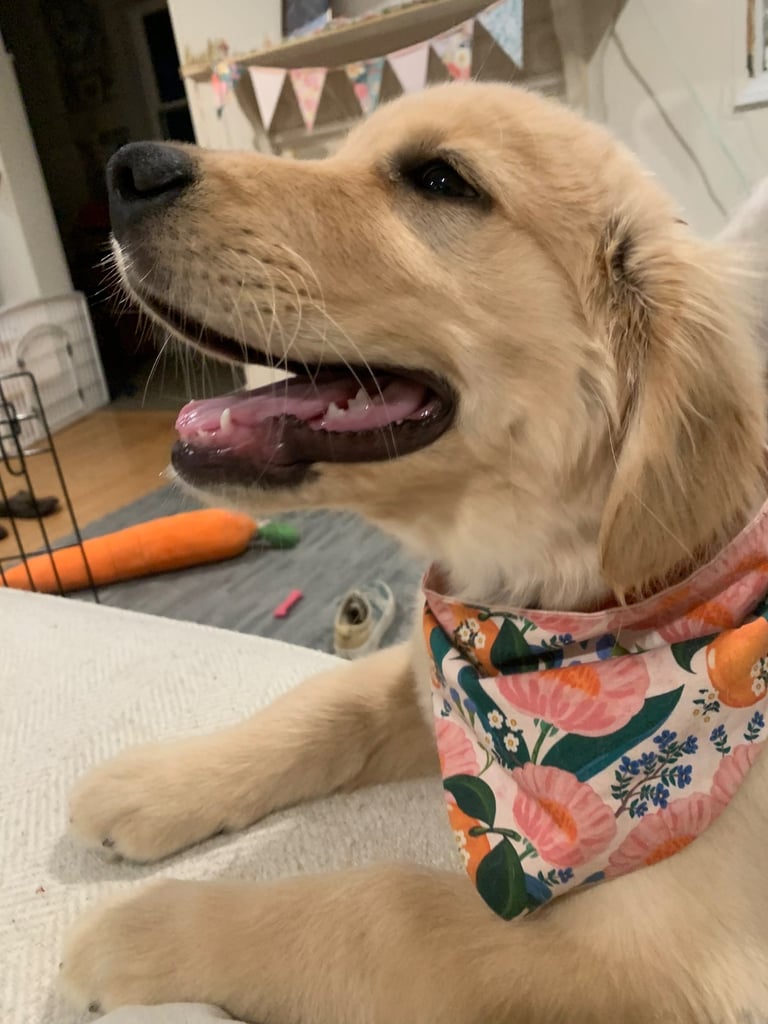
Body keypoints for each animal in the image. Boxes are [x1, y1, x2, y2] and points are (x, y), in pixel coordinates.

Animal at [61, 82, 768, 1023]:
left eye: (441, 179)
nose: (128, 170)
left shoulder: (658, 972)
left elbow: (377, 912)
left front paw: (140, 932)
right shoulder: (433, 664)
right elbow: (325, 705)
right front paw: (154, 783)